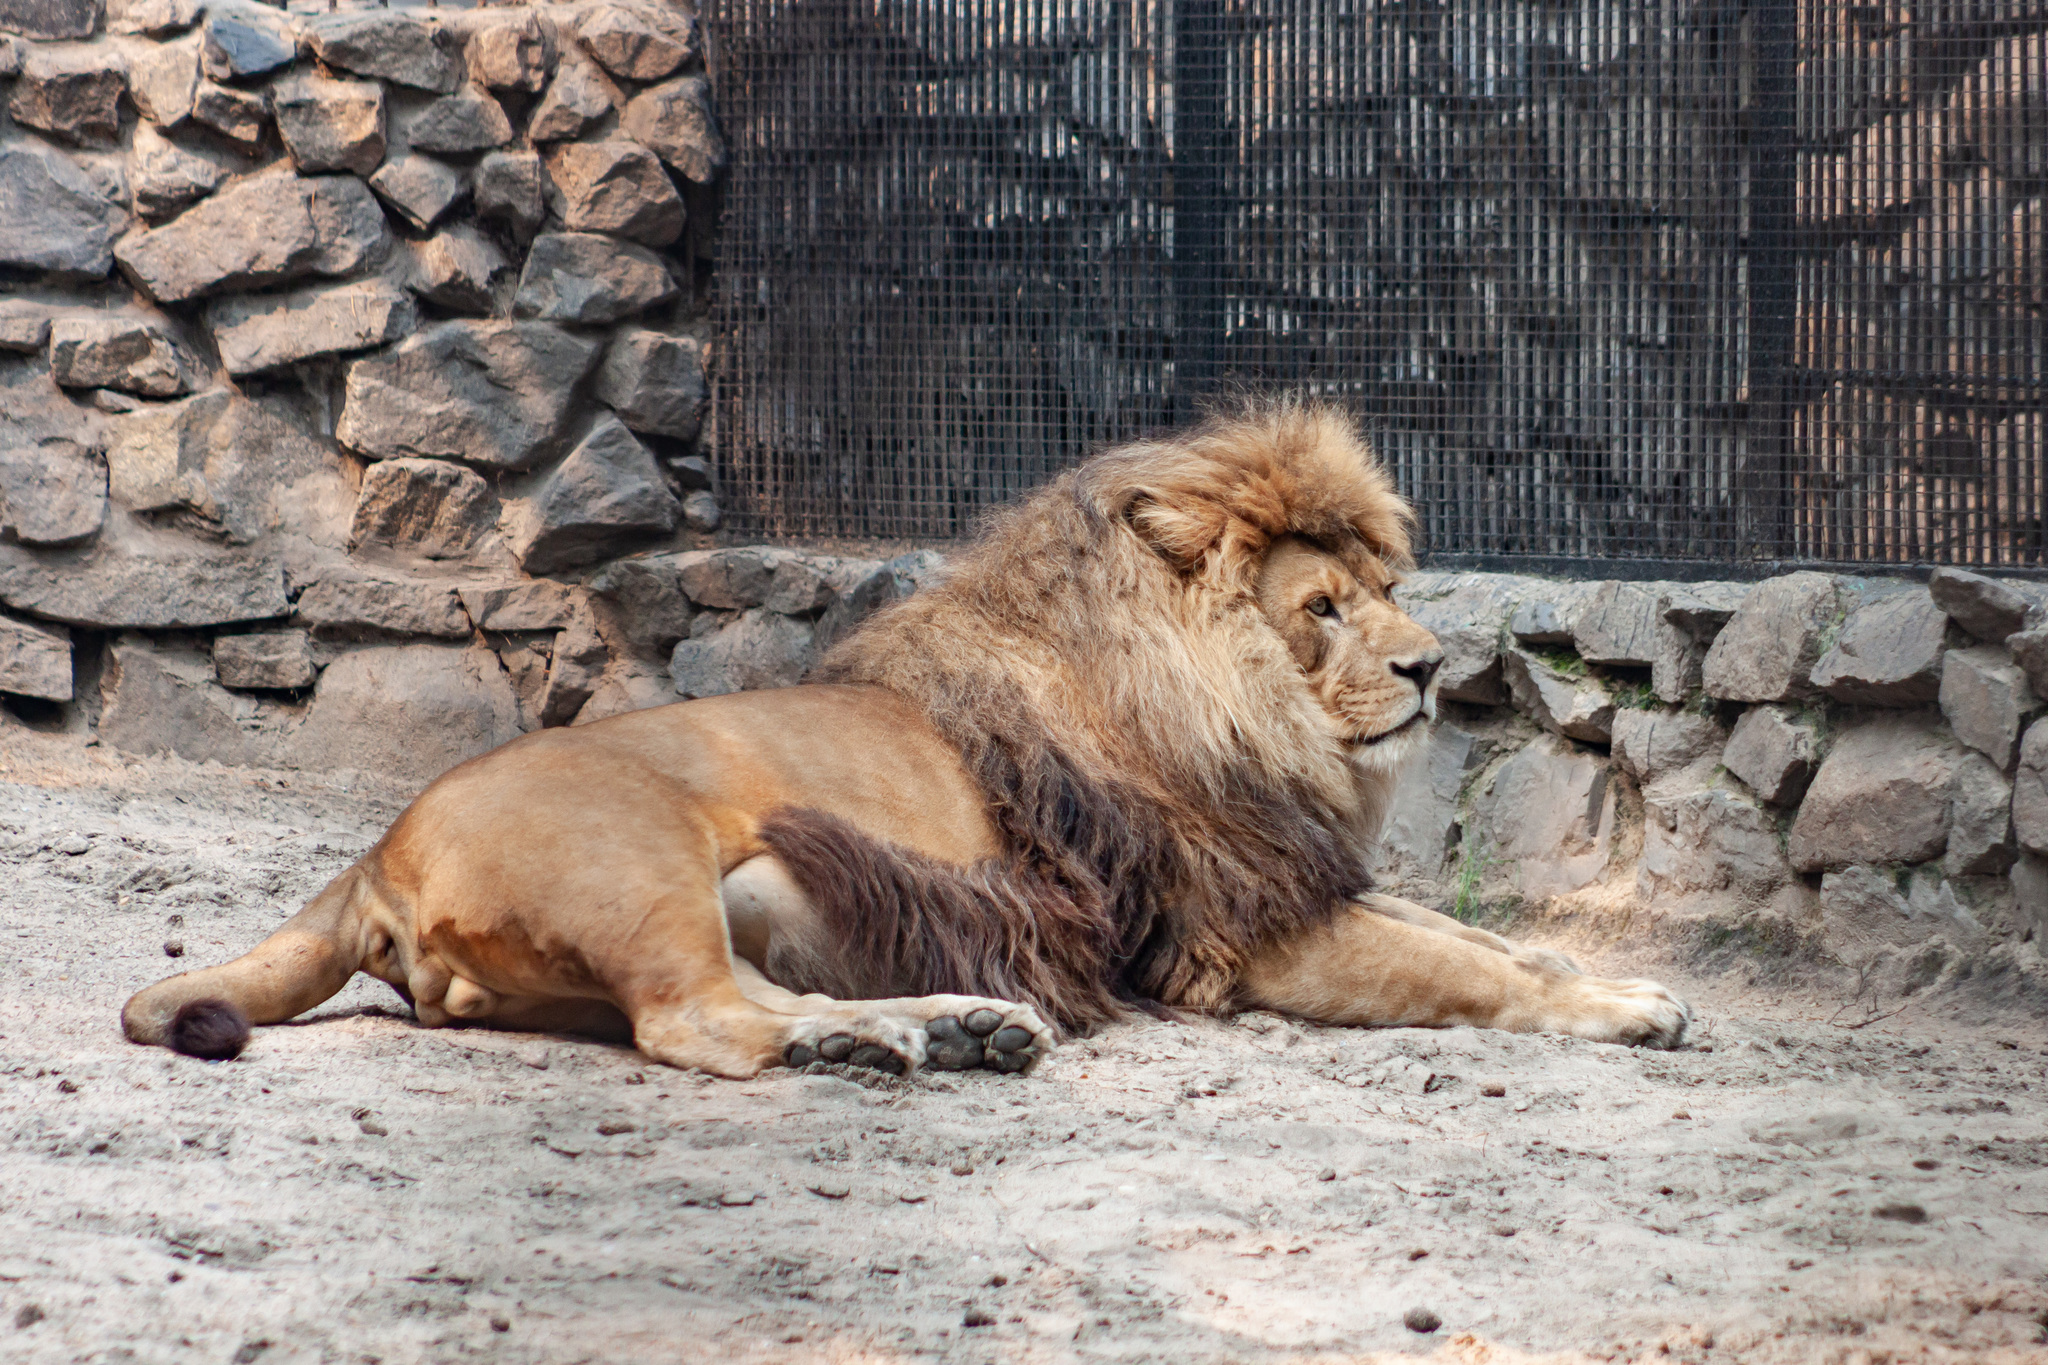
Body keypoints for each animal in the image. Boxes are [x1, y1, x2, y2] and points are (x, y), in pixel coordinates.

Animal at [132, 397, 1695, 1080]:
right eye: (1321, 608)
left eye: (1386, 591)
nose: (1432, 669)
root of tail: (374, 852)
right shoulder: (1232, 930)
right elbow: (1460, 968)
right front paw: (1631, 1010)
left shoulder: (1287, 878)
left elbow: (1487, 938)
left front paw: (1600, 972)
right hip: (641, 862)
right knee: (697, 1026)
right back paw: (895, 1042)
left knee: (742, 1005)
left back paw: (952, 1025)